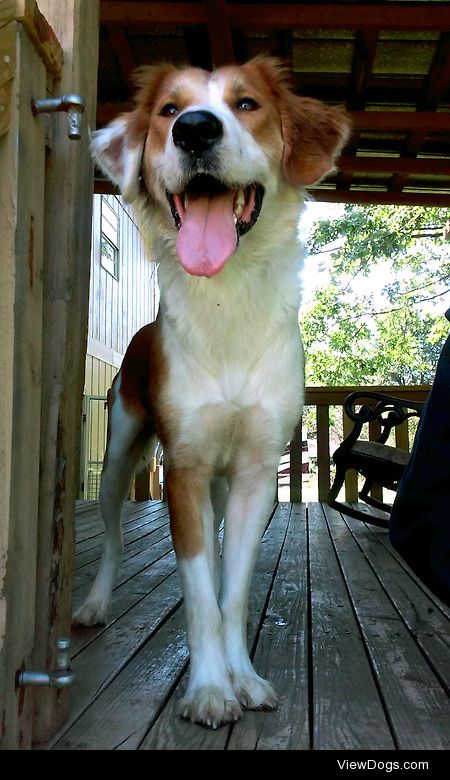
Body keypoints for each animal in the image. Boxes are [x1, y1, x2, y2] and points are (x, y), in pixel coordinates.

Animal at [72, 58, 350, 728]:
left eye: (246, 104)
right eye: (168, 111)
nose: (195, 129)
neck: (228, 301)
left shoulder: (254, 473)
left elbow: (232, 591)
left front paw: (241, 677)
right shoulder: (186, 469)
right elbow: (199, 591)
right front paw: (208, 688)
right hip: (119, 455)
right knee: (113, 538)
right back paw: (94, 604)